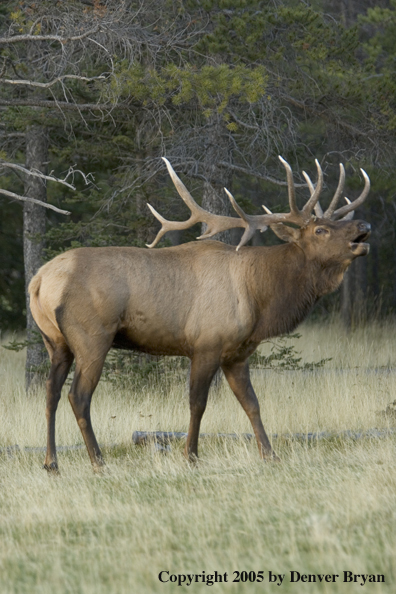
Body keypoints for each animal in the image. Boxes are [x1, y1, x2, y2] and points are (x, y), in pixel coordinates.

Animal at [28, 155, 372, 470]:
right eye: (321, 230)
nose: (364, 225)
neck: (259, 297)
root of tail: (38, 281)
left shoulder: (236, 354)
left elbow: (252, 403)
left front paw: (270, 454)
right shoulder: (207, 344)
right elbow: (198, 403)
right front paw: (191, 456)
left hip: (55, 342)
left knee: (50, 393)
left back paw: (51, 462)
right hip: (92, 337)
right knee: (78, 396)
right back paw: (98, 461)